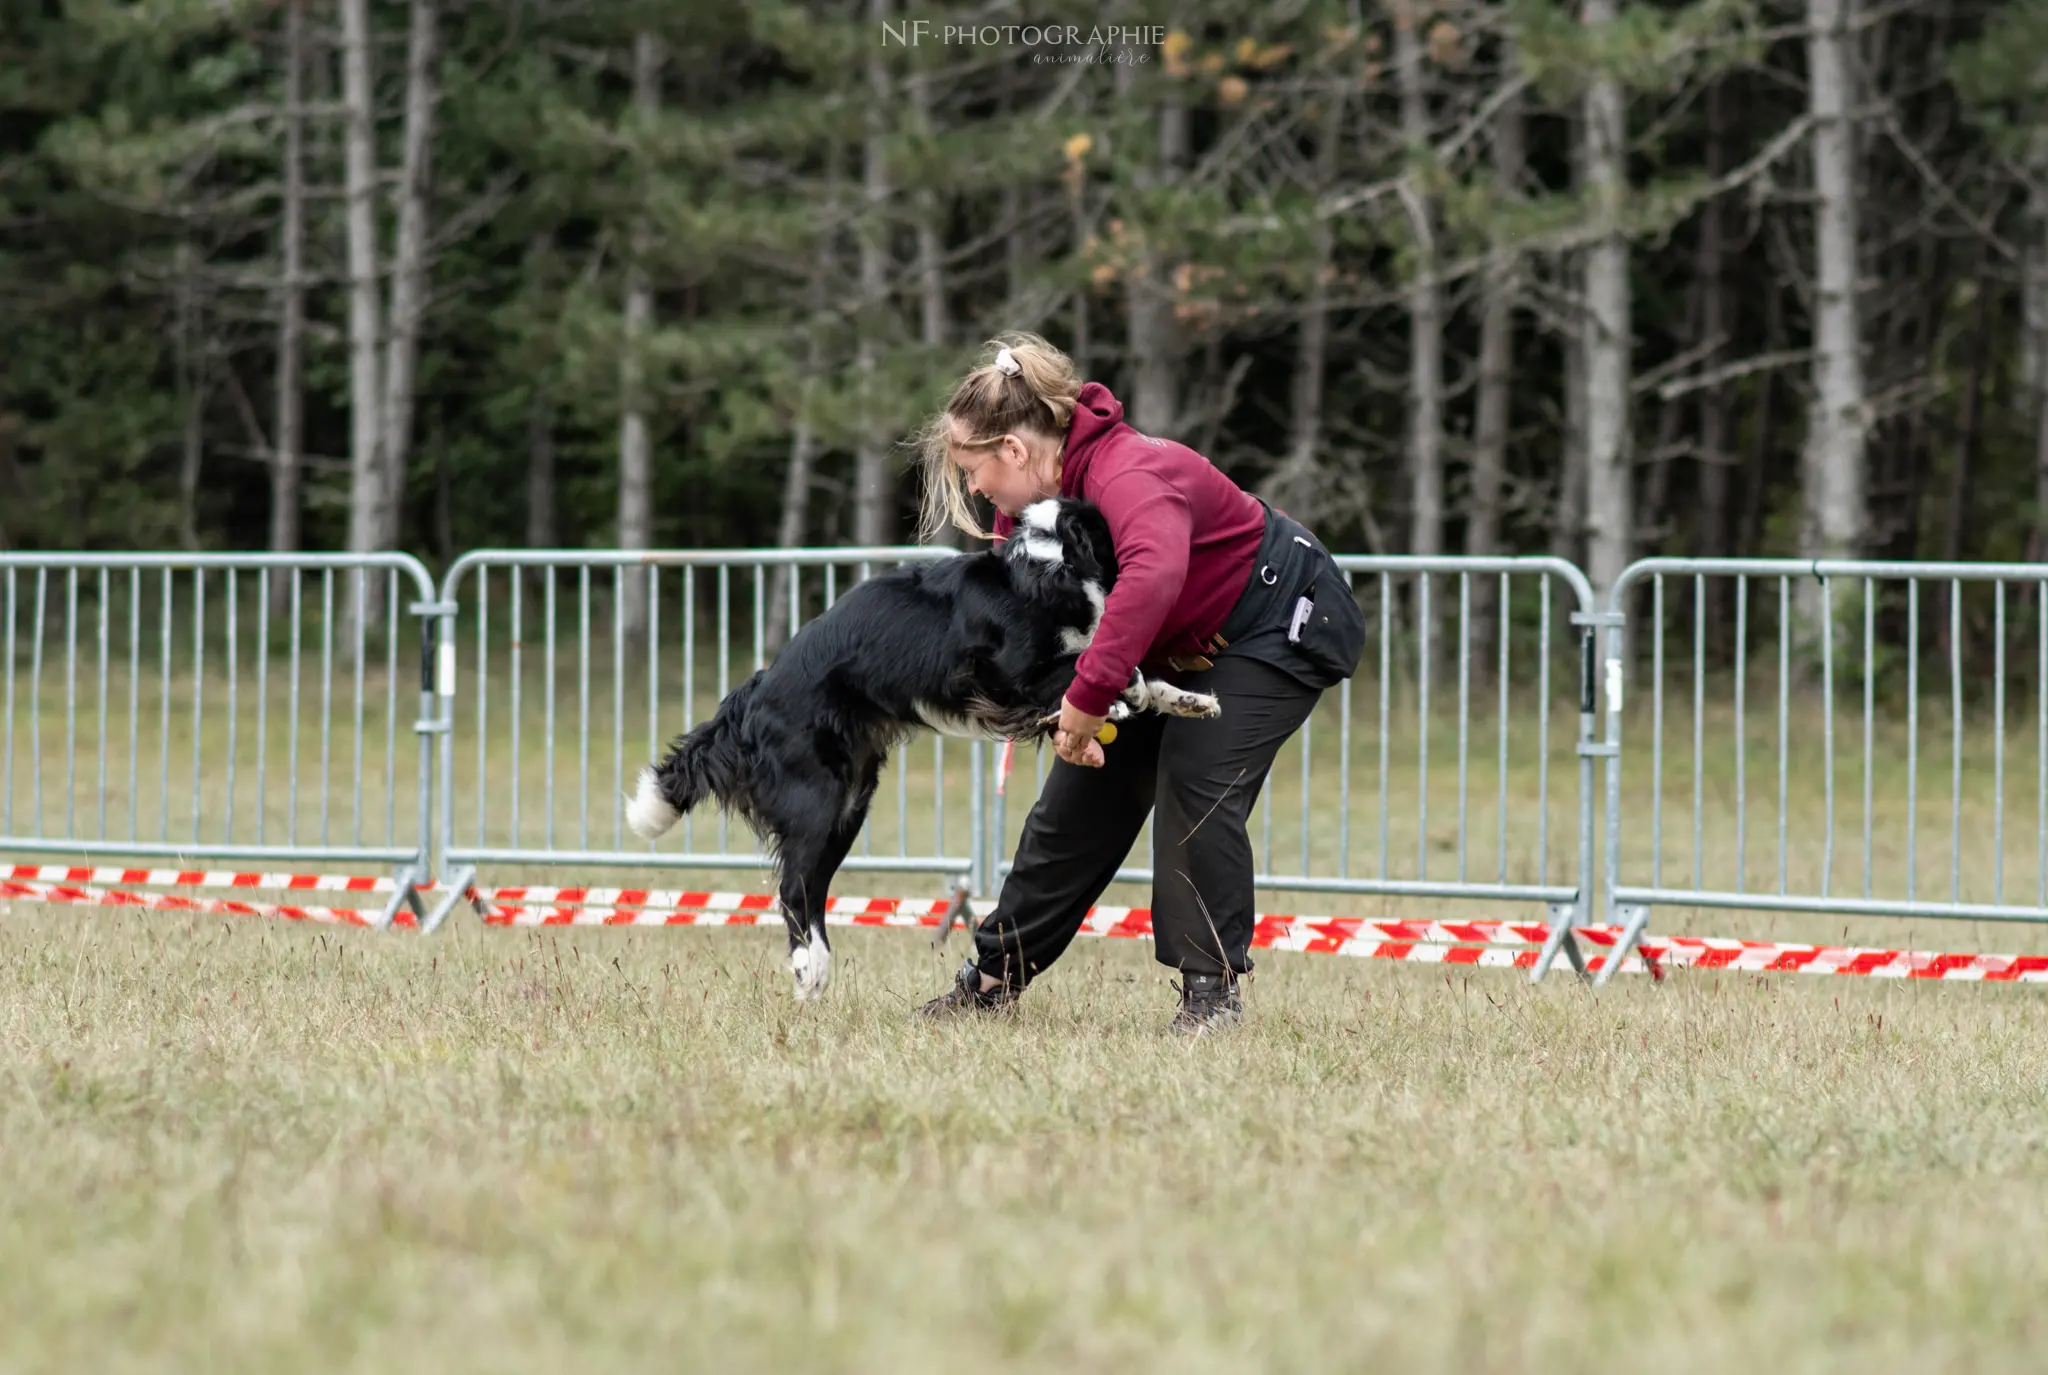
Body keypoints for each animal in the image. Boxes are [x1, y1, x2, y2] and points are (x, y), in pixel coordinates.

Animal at [622, 500, 1212, 995]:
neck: (1052, 563)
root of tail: (753, 692)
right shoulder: (1005, 674)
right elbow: (1082, 669)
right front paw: (1124, 698)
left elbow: (1121, 674)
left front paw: (1188, 699)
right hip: (816, 797)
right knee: (792, 886)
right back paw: (807, 967)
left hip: (850, 805)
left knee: (813, 885)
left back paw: (820, 965)